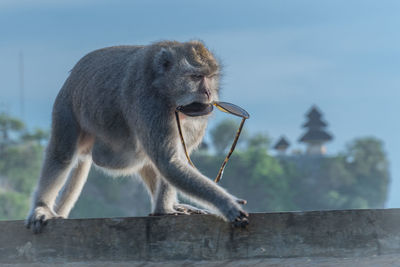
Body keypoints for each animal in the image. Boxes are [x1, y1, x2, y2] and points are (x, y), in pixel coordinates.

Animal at [25, 40, 247, 234]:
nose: (209, 93)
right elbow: (168, 161)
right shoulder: (149, 103)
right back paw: (41, 206)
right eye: (195, 77)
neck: (165, 91)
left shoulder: (194, 121)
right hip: (67, 106)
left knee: (145, 155)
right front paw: (227, 204)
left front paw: (165, 209)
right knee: (63, 154)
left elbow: (171, 161)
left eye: (210, 76)